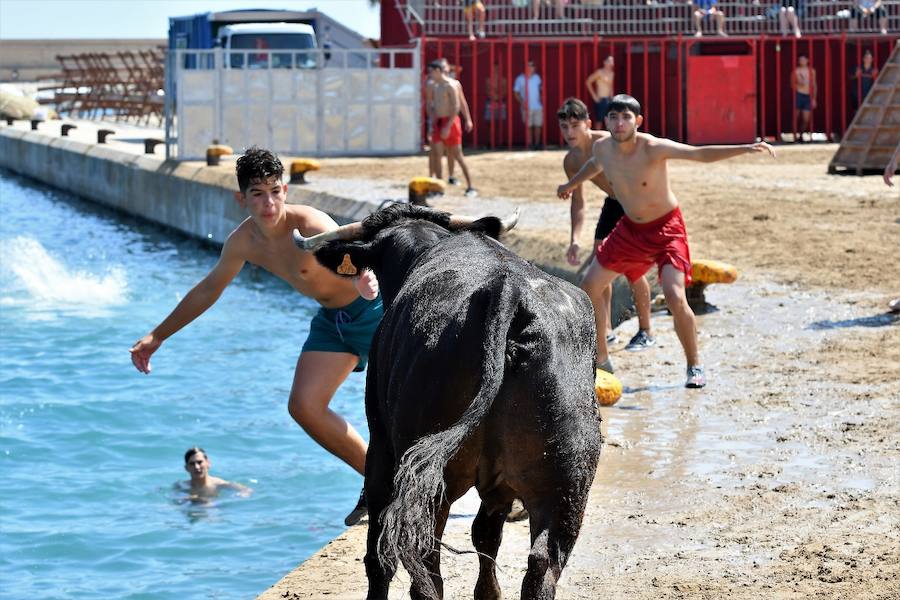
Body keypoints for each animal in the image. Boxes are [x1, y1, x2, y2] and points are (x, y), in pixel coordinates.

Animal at [306, 204, 600, 596]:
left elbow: (379, 556)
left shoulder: (381, 445)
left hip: (423, 480)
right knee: (542, 564)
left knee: (422, 568)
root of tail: (508, 291)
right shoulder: (499, 487)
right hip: (566, 482)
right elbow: (486, 536)